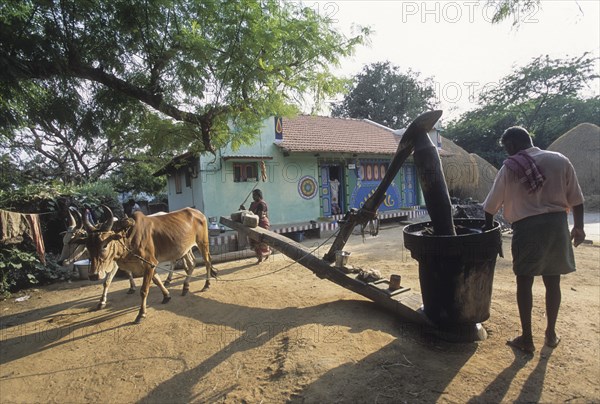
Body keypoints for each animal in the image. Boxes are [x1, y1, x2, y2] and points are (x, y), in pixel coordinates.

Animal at [81, 207, 217, 324]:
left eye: (104, 245)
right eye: (88, 246)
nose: (93, 275)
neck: (128, 236)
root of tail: (198, 212)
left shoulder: (149, 263)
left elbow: (144, 290)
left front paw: (141, 314)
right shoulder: (149, 265)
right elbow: (157, 280)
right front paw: (166, 296)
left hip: (203, 243)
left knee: (207, 262)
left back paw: (207, 284)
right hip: (185, 248)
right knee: (191, 263)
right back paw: (185, 287)